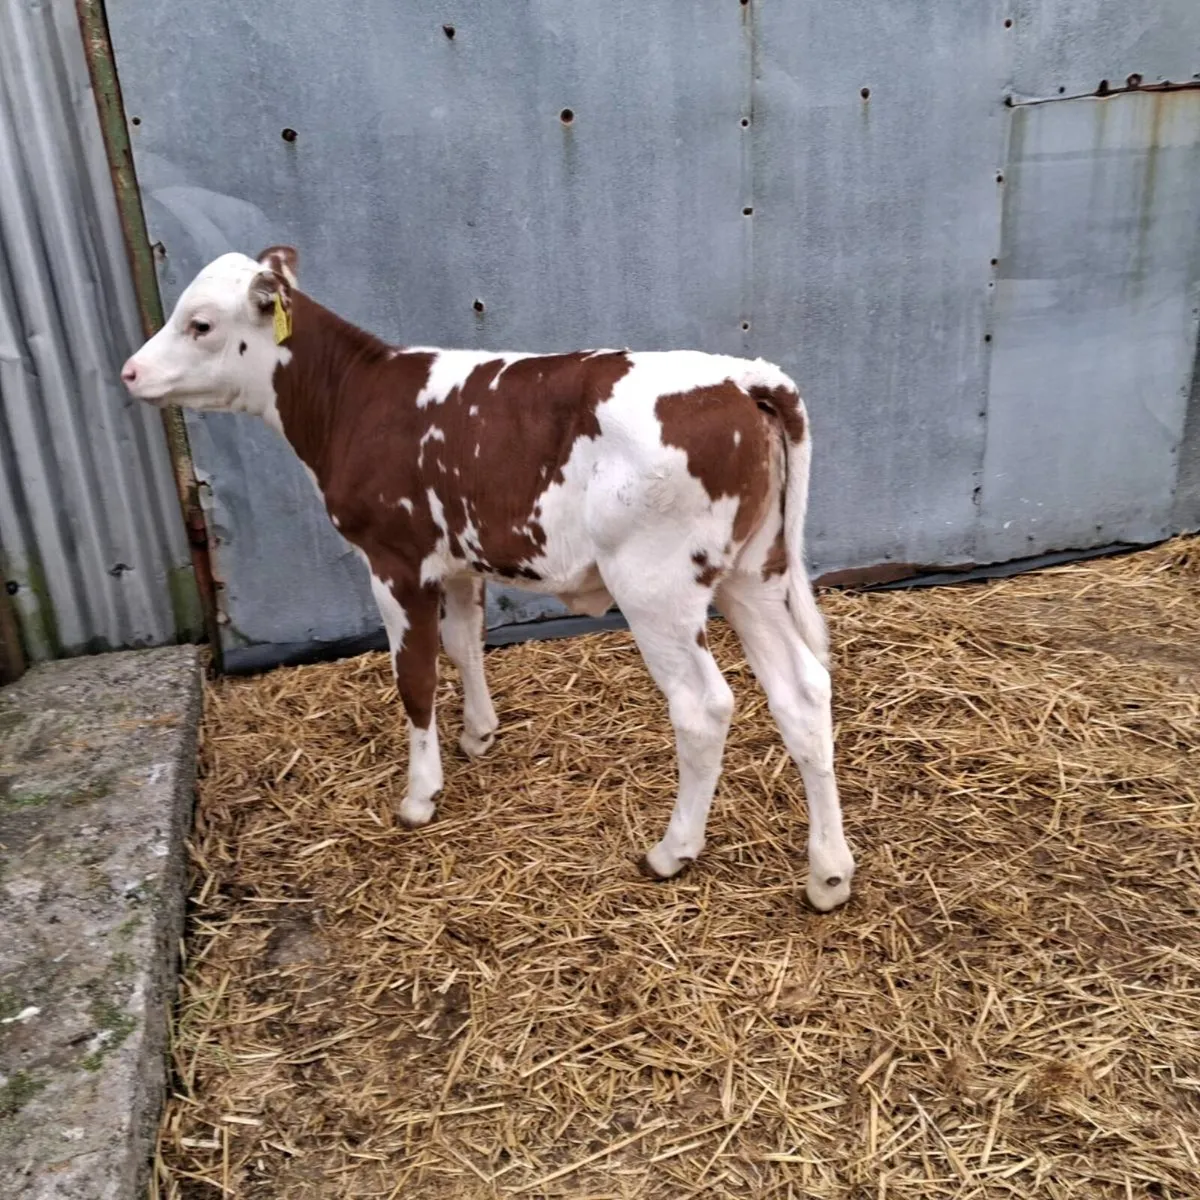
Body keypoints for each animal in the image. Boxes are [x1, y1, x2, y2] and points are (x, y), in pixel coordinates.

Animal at [122, 247, 855, 911]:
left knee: (703, 708)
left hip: (657, 586)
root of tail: (743, 377)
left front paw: (419, 796)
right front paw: (478, 734)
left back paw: (672, 851)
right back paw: (828, 876)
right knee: (803, 692)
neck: (354, 399)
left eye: (200, 323)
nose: (129, 371)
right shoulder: (454, 561)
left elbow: (414, 676)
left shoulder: (394, 560)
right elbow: (464, 644)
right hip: (752, 573)